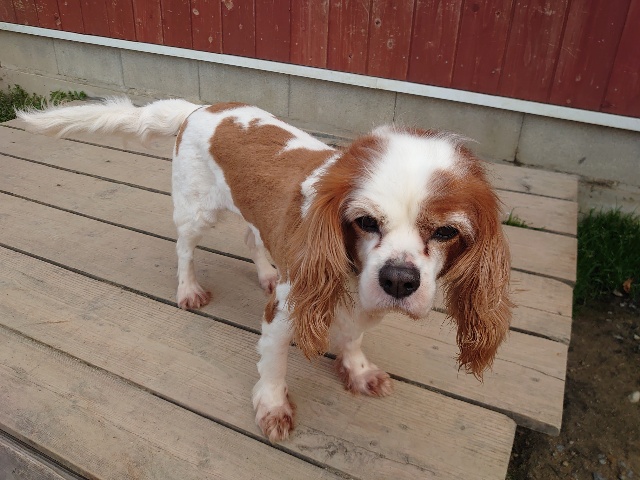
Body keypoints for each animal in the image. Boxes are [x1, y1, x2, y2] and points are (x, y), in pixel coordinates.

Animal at [19, 98, 512, 442]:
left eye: (446, 232)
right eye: (365, 222)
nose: (398, 279)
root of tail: (198, 108)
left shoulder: (363, 306)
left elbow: (352, 338)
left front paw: (358, 371)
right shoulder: (286, 311)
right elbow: (273, 364)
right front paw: (273, 408)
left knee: (252, 238)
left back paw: (264, 272)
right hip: (196, 212)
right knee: (184, 247)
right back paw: (188, 288)